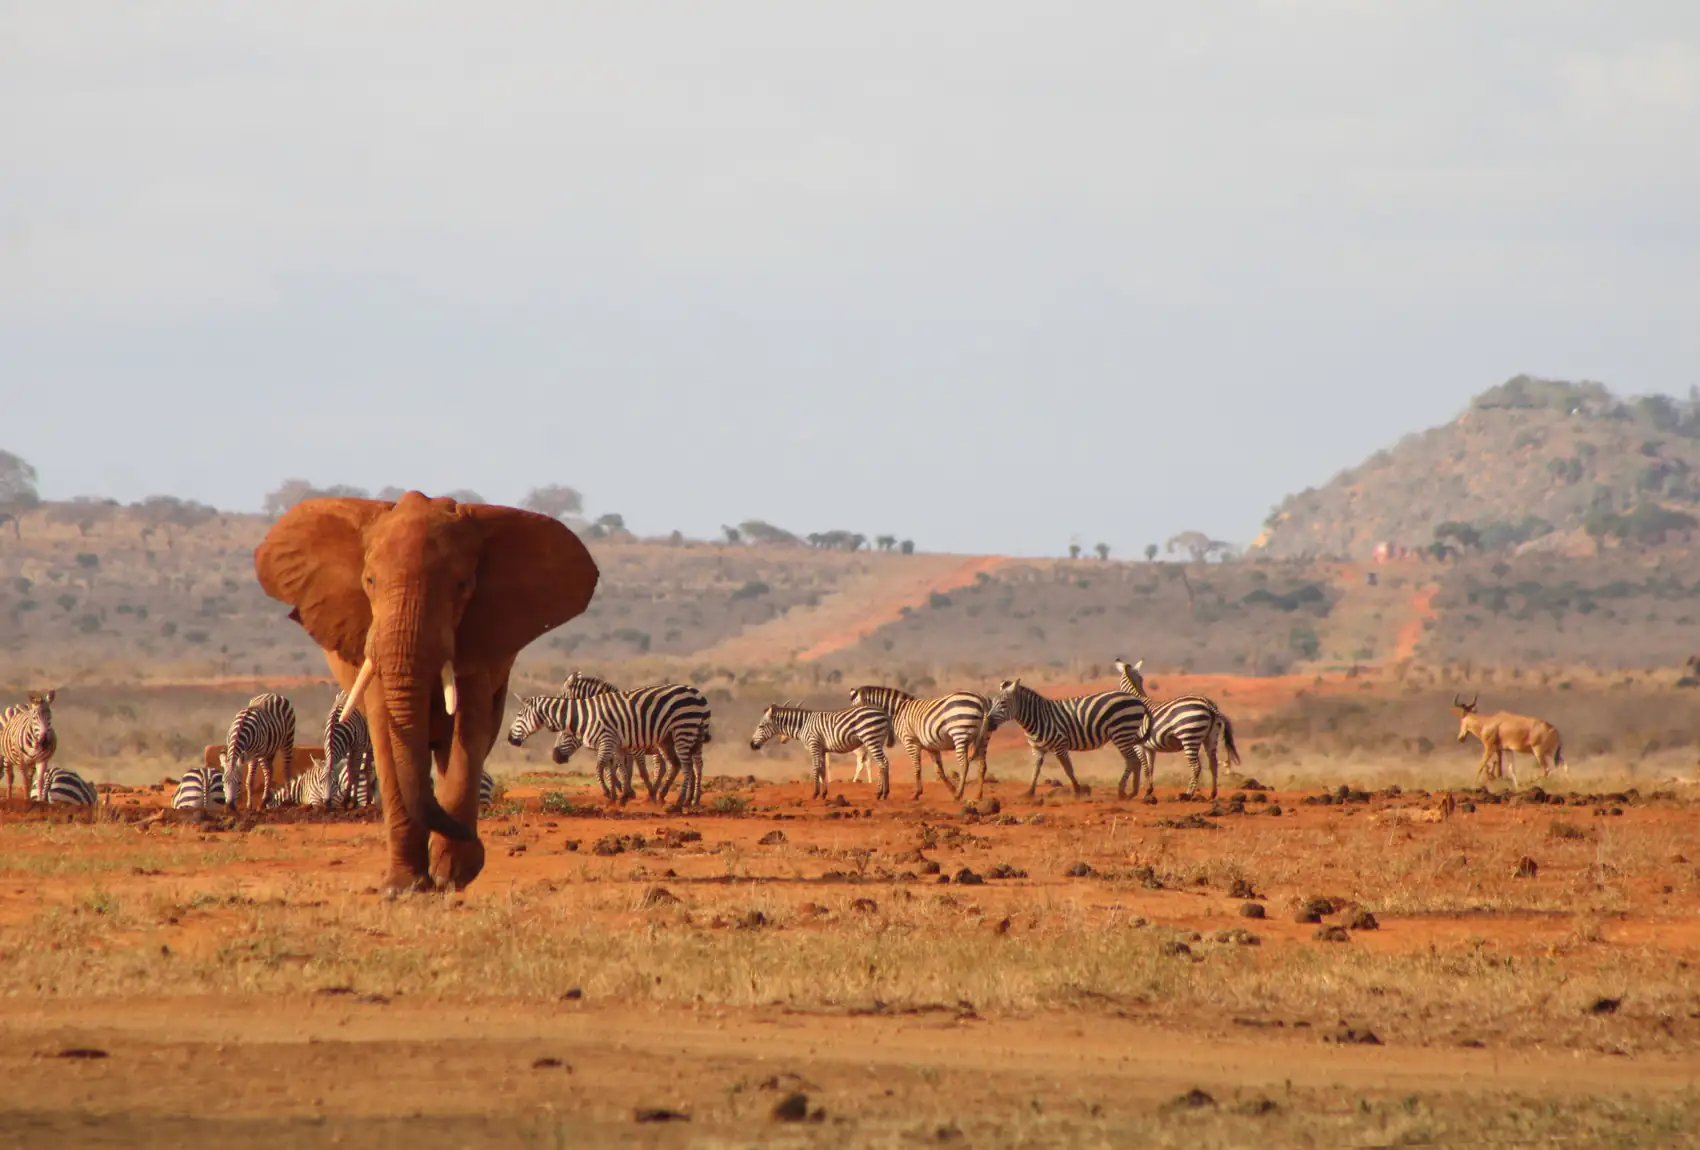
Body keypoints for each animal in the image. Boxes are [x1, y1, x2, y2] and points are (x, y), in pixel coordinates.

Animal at [254, 492, 598, 893]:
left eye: (463, 585)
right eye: (369, 581)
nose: (475, 839)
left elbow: (468, 730)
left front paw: (452, 875)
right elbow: (386, 735)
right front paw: (404, 887)